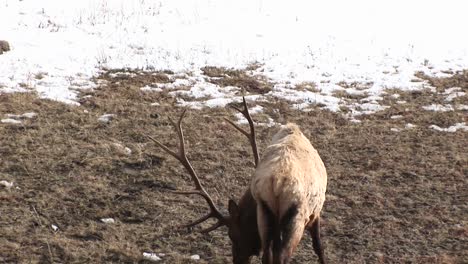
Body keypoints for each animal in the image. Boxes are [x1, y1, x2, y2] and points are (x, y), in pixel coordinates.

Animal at [148, 97, 328, 264]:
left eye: (232, 235)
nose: (238, 260)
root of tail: (278, 183)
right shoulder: (315, 213)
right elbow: (318, 247)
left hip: (266, 214)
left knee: (268, 255)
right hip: (295, 216)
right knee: (281, 256)